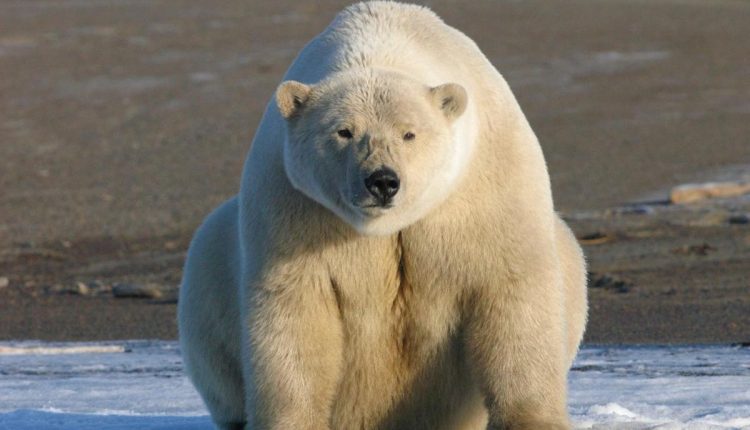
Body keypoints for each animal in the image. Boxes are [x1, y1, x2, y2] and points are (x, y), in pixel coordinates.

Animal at [178, 2, 588, 430]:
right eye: (343, 131)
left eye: (409, 133)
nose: (382, 181)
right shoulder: (294, 204)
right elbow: (296, 309)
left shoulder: (486, 185)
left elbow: (510, 288)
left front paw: (532, 420)